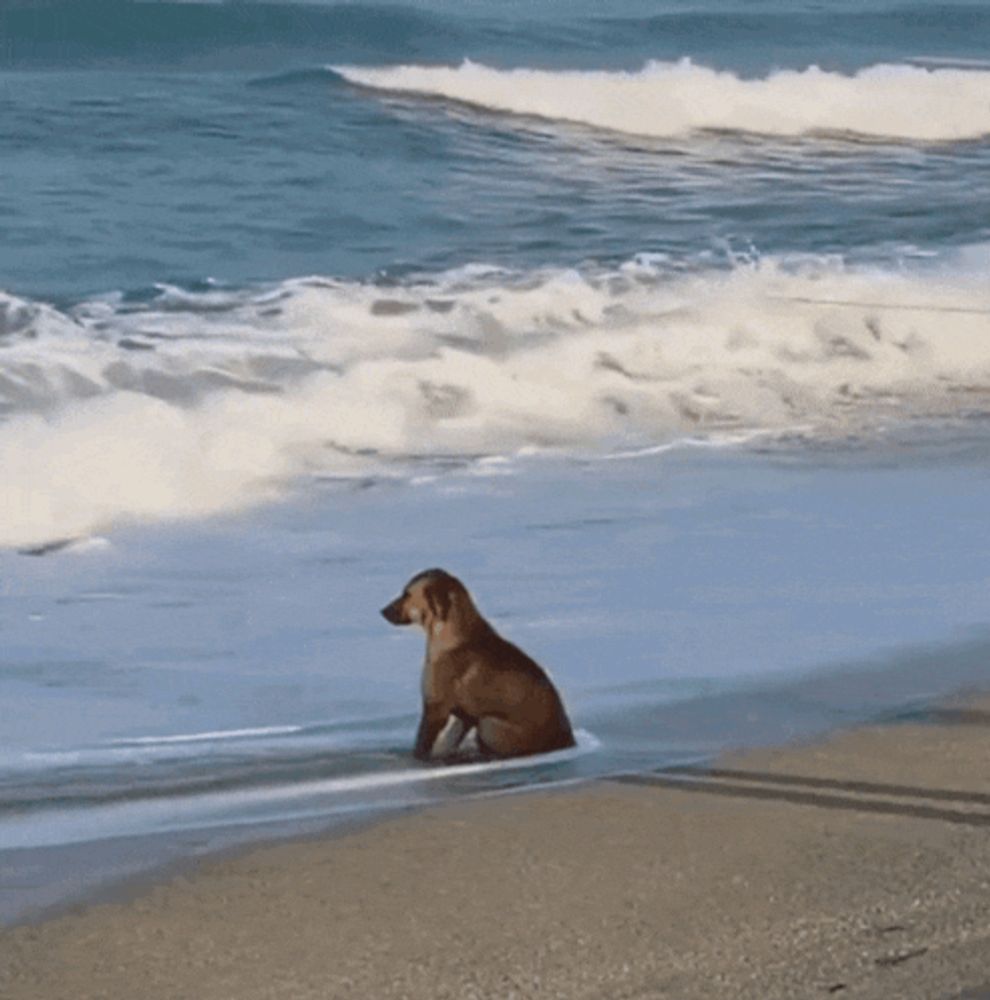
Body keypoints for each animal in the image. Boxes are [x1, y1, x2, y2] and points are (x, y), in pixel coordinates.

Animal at [382, 568, 576, 760]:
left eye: (406, 594)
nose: (382, 610)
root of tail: (568, 742)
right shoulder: (463, 717)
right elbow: (448, 741)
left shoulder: (435, 708)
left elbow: (422, 745)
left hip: (489, 724)